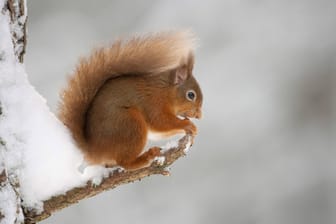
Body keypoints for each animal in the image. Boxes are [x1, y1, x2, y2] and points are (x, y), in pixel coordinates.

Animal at [58, 31, 202, 170]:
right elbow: (161, 122)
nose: (199, 116)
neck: (165, 90)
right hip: (130, 124)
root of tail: (95, 150)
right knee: (125, 163)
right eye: (191, 95)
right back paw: (147, 156)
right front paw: (187, 125)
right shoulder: (153, 102)